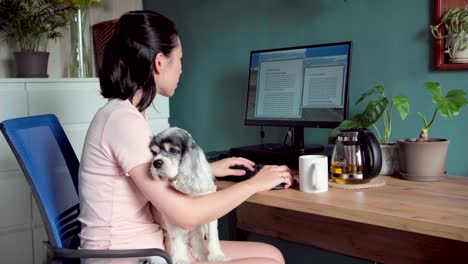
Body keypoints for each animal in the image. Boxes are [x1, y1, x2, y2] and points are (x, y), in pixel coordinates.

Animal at [145, 127, 228, 264]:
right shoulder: (173, 217)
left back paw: (202, 254)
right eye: (153, 153)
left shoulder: (210, 210)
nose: (156, 163)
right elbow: (177, 240)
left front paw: (217, 256)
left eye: (173, 150)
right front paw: (180, 259)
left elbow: (212, 235)